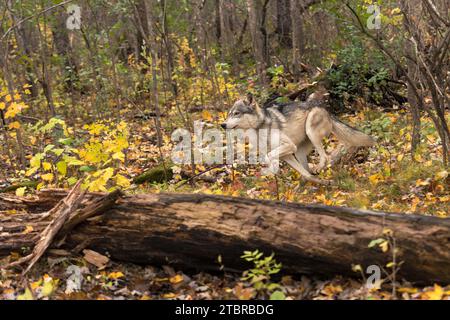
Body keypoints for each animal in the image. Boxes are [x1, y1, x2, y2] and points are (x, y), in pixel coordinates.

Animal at [221, 91, 376, 184]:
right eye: (229, 114)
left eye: (236, 113)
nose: (222, 124)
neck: (260, 128)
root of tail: (326, 110)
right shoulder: (287, 154)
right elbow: (298, 170)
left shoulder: (289, 146)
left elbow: (268, 157)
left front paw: (270, 169)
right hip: (299, 151)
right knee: (307, 171)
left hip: (310, 132)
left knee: (325, 157)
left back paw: (318, 168)